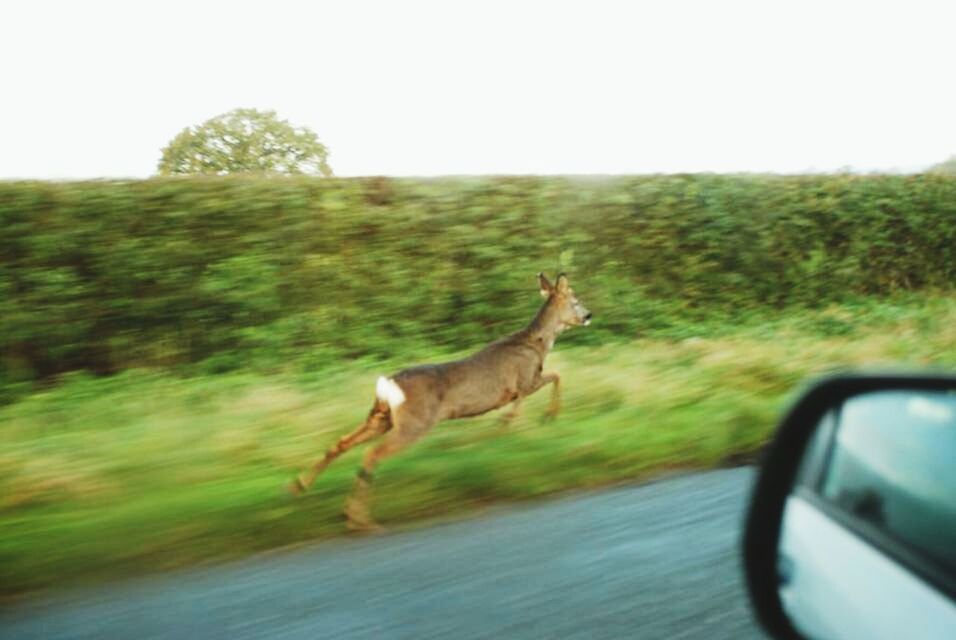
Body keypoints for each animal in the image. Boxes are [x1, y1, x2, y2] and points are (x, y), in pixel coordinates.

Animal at [290, 272, 592, 532]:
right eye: (575, 300)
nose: (589, 315)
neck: (537, 344)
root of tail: (388, 384)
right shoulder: (525, 380)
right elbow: (555, 376)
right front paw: (539, 417)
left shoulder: (522, 385)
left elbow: (552, 379)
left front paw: (518, 420)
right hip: (415, 422)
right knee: (371, 454)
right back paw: (359, 520)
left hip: (381, 417)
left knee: (342, 442)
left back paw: (301, 487)